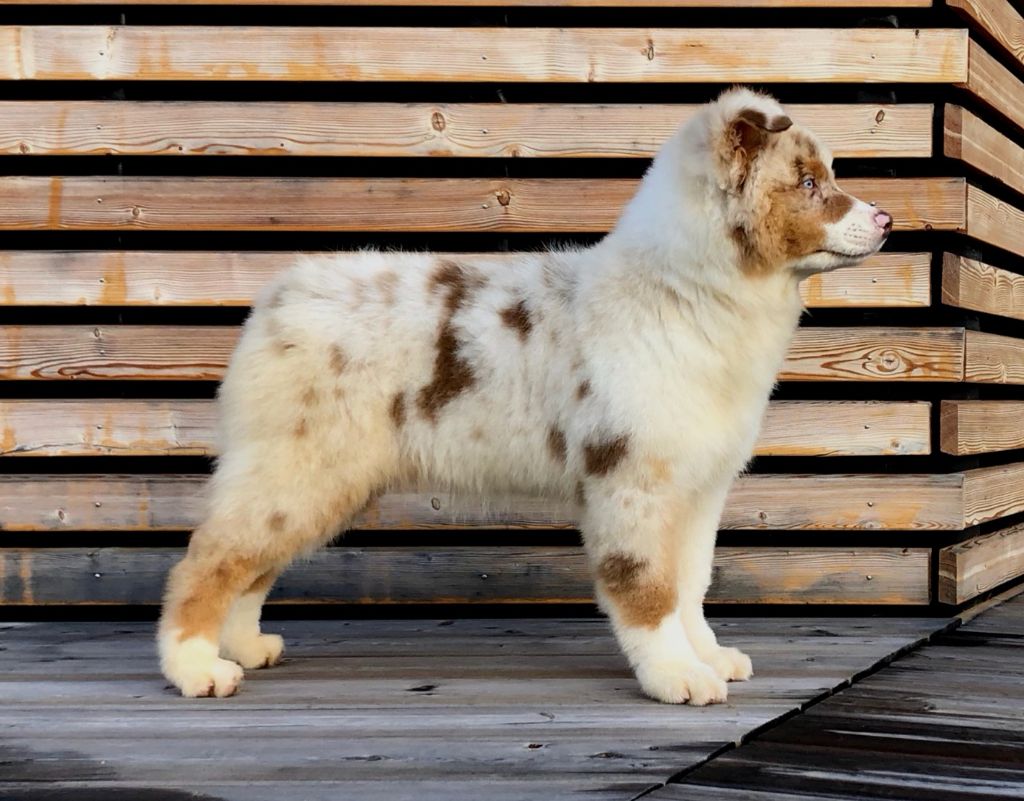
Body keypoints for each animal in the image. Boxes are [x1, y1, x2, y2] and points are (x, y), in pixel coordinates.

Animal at [158, 88, 892, 704]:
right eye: (808, 184)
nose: (886, 219)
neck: (684, 294)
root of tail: (277, 296)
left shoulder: (698, 485)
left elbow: (690, 587)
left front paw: (708, 656)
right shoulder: (631, 481)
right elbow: (650, 592)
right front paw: (677, 677)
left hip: (309, 475)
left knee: (250, 564)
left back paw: (244, 646)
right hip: (297, 468)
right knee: (211, 559)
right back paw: (196, 669)